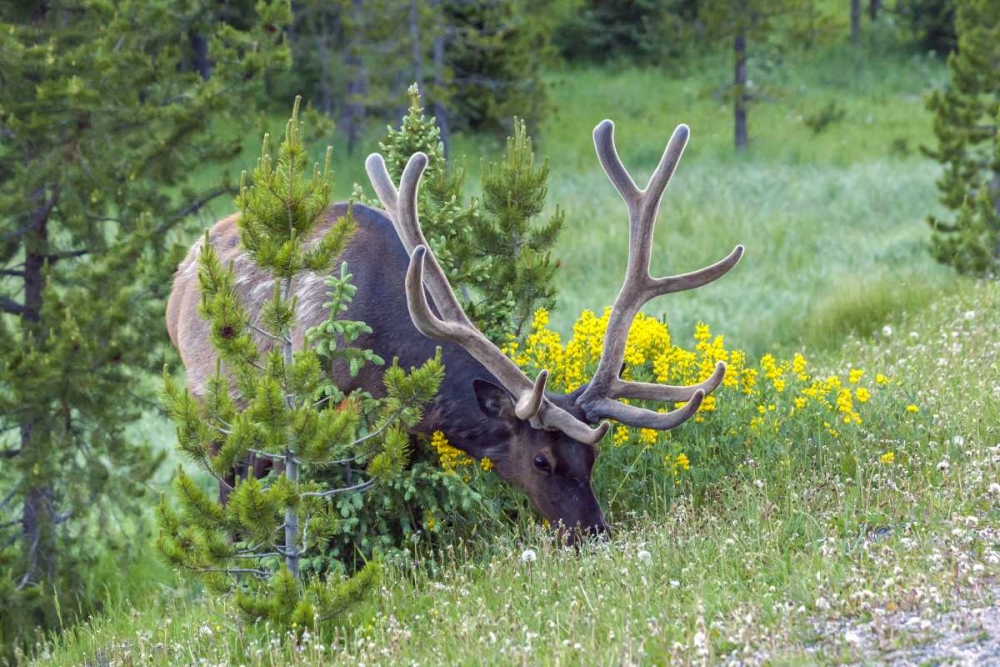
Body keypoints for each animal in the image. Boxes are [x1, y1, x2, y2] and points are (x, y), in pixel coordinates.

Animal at [166, 119, 744, 541]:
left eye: (592, 456)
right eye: (541, 458)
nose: (593, 532)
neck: (385, 346)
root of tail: (180, 278)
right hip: (219, 405)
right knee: (228, 493)